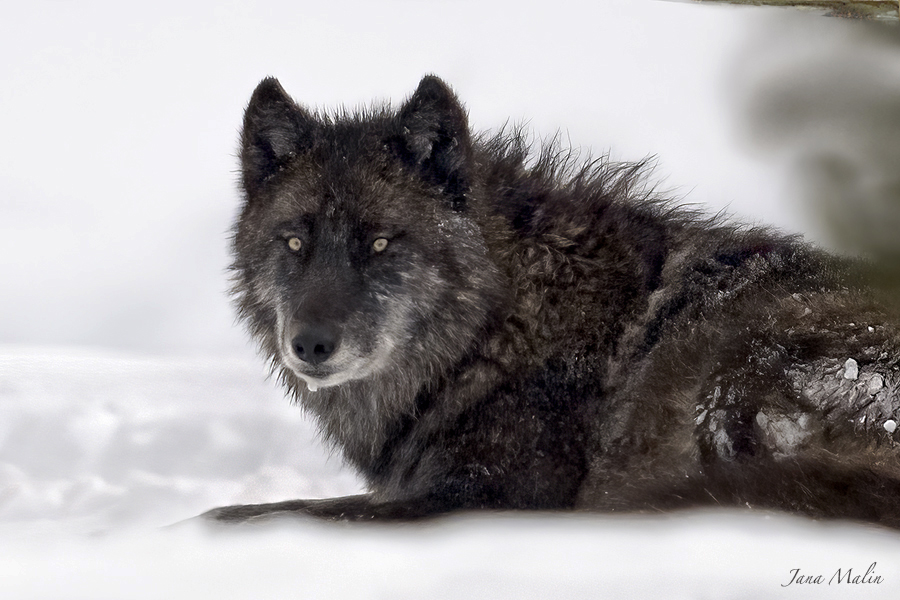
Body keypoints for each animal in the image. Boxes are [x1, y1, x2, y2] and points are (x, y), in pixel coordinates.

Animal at [204, 75, 900, 527]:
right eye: (294, 241)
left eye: (379, 242)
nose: (310, 344)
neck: (498, 327)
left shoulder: (486, 498)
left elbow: (272, 512)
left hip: (739, 368)